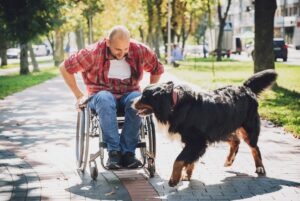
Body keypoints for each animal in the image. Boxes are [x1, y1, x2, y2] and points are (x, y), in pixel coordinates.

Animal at [132, 69, 278, 187]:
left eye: (144, 96)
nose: (132, 102)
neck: (174, 104)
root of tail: (245, 87)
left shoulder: (197, 141)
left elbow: (179, 160)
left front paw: (174, 179)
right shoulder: (193, 142)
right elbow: (189, 160)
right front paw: (186, 175)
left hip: (247, 128)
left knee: (254, 148)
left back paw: (260, 168)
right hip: (220, 130)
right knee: (235, 140)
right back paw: (229, 160)